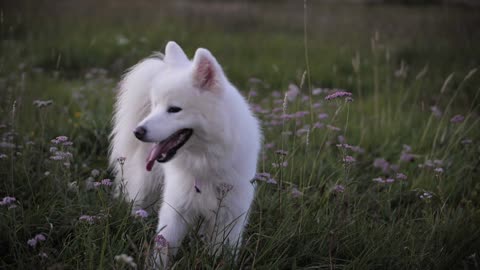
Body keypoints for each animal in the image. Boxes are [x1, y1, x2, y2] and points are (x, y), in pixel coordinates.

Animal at [108, 41, 260, 266]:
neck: (204, 163)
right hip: (143, 187)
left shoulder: (230, 216)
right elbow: (163, 248)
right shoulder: (175, 210)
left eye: (174, 109)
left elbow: (221, 253)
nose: (138, 132)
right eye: (155, 105)